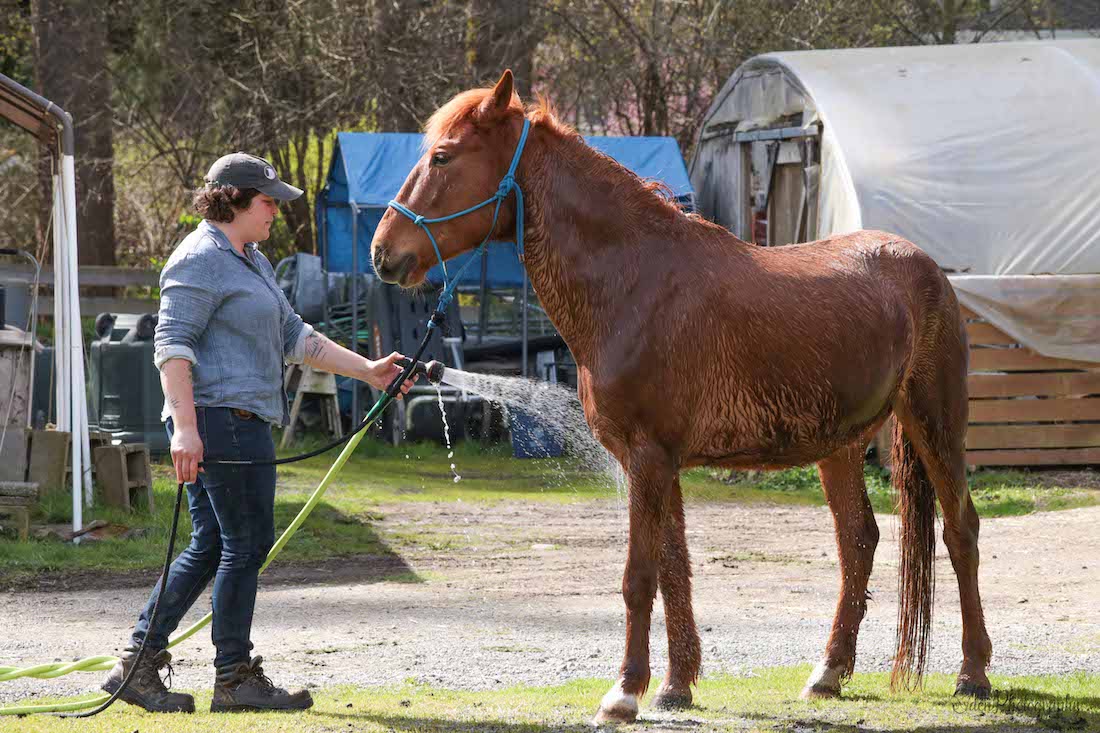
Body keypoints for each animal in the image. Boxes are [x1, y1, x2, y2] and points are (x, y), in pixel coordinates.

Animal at [374, 71, 994, 721]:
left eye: (443, 157)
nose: (383, 253)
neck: (633, 284)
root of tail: (927, 269)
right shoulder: (653, 460)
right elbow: (674, 568)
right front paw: (675, 686)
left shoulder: (648, 459)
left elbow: (639, 577)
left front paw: (624, 693)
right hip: (840, 445)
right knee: (859, 541)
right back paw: (828, 673)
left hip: (934, 424)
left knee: (960, 532)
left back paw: (972, 674)